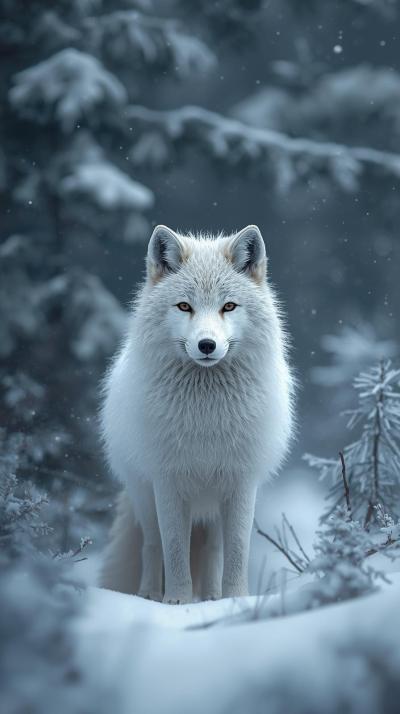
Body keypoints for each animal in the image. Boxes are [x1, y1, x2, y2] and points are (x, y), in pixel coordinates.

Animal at [99, 224, 294, 603]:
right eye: (184, 306)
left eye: (228, 306)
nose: (207, 345)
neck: (207, 416)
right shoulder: (169, 481)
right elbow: (174, 550)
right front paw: (177, 600)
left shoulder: (240, 483)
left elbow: (237, 552)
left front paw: (236, 598)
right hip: (146, 500)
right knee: (151, 546)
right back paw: (149, 595)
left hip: (212, 513)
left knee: (213, 552)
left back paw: (213, 597)